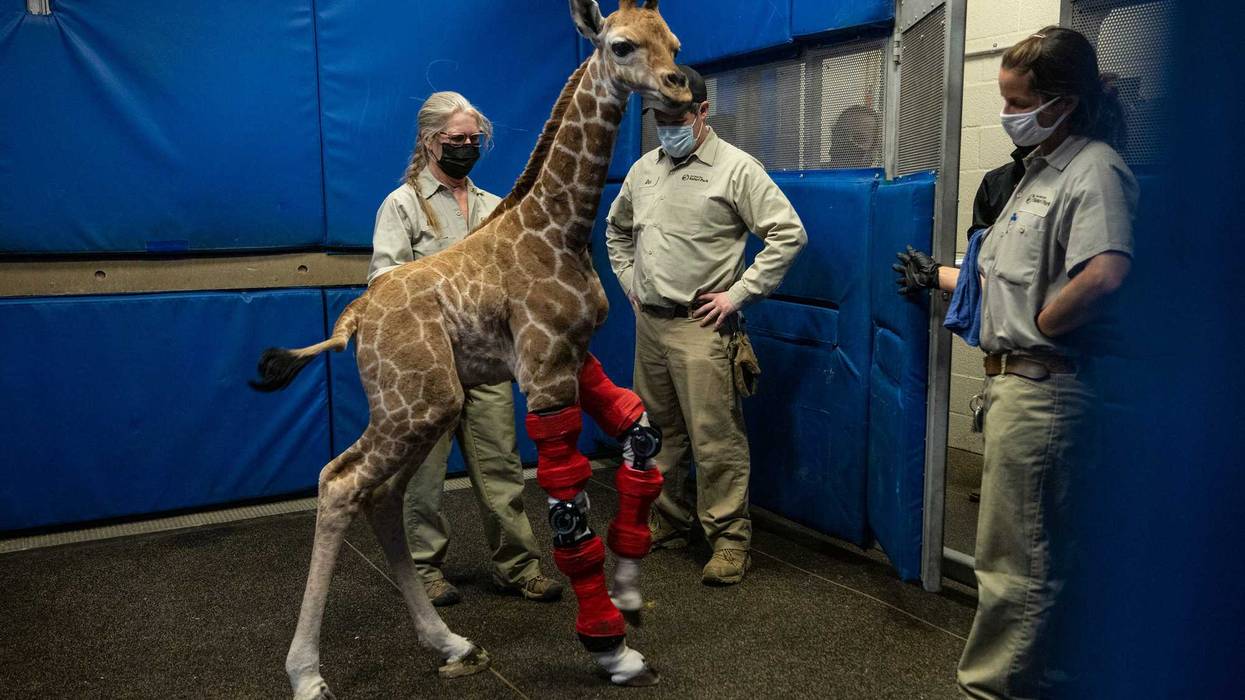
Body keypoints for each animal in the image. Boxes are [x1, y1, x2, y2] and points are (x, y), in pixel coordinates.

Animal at [248, 2, 690, 697]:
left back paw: (450, 642)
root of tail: (355, 318)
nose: (681, 87)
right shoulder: (544, 370)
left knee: (381, 496)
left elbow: (641, 438)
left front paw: (628, 596)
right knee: (339, 482)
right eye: (621, 45)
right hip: (416, 402)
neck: (561, 229)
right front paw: (612, 649)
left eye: (672, 41)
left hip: (431, 406)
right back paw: (307, 674)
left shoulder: (573, 356)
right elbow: (568, 509)